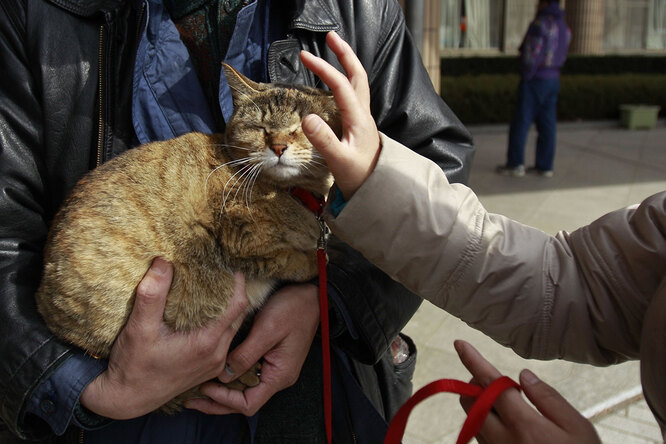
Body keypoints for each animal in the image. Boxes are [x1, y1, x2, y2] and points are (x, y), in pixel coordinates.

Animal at [33, 64, 340, 412]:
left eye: (302, 127)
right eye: (259, 127)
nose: (277, 147)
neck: (294, 194)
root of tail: (45, 304)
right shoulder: (242, 241)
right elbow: (292, 260)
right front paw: (315, 259)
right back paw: (234, 376)